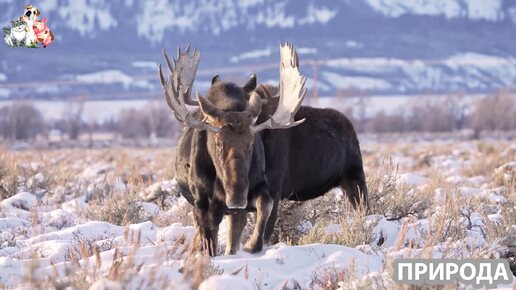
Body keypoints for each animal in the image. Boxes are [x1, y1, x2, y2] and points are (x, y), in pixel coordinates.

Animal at [158, 43, 366, 256]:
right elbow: (208, 243)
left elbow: (265, 212)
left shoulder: (270, 188)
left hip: (355, 179)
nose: (237, 196)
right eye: (218, 143)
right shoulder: (202, 202)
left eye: (251, 143)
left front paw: (252, 245)